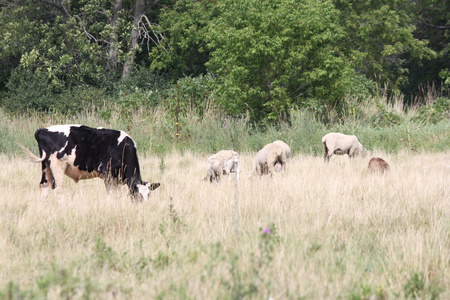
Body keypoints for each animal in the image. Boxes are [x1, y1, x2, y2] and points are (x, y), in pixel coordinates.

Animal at [22, 124, 162, 202]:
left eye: (148, 196)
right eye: (138, 196)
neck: (123, 148)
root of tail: (42, 130)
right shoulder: (108, 175)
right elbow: (111, 194)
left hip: (46, 166)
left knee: (44, 186)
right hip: (57, 165)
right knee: (58, 189)